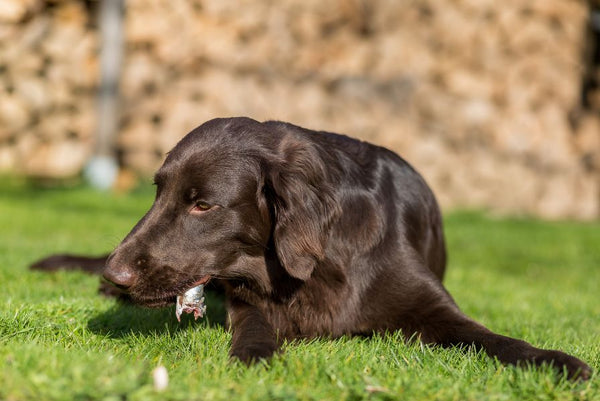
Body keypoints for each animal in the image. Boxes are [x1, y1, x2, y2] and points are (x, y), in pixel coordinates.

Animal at [32, 116, 592, 378]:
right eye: (158, 191)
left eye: (203, 205)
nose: (115, 274)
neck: (318, 265)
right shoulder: (250, 304)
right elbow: (255, 332)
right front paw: (253, 358)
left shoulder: (432, 305)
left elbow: (493, 338)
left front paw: (556, 361)